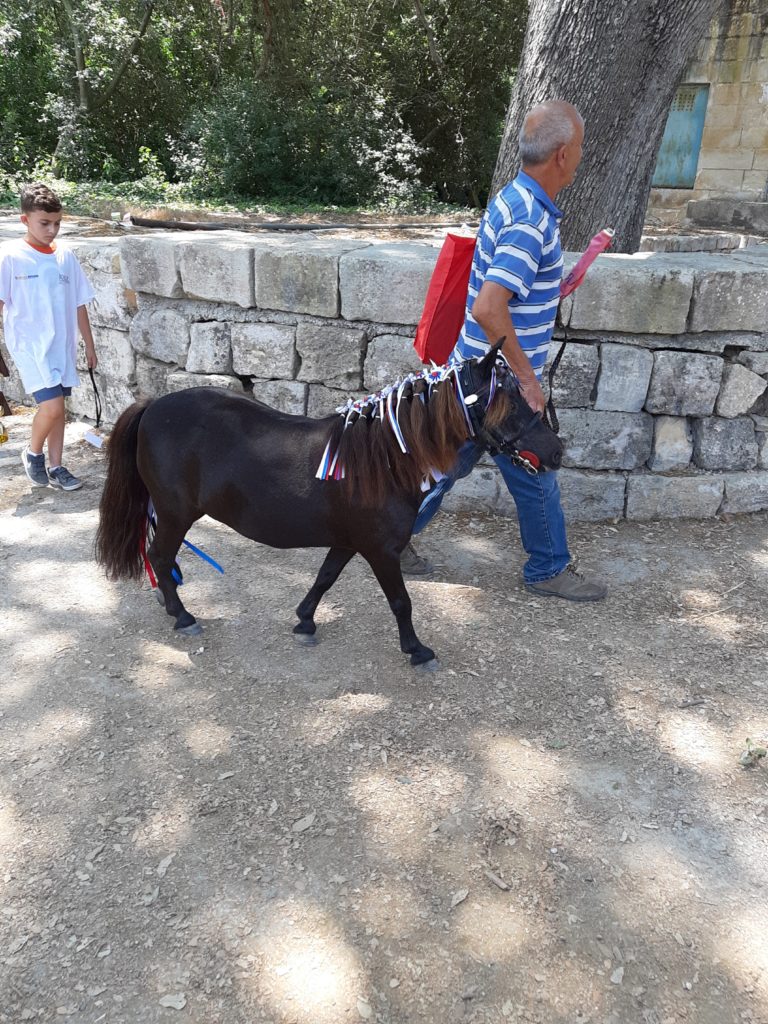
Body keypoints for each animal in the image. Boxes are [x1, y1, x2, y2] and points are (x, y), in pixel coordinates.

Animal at [97, 339, 565, 667]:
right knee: (159, 555)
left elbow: (324, 578)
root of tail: (153, 404)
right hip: (176, 513)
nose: (557, 452)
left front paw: (305, 621)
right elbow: (401, 602)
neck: (385, 458)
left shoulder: (348, 541)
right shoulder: (381, 550)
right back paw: (182, 616)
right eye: (509, 402)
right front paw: (417, 650)